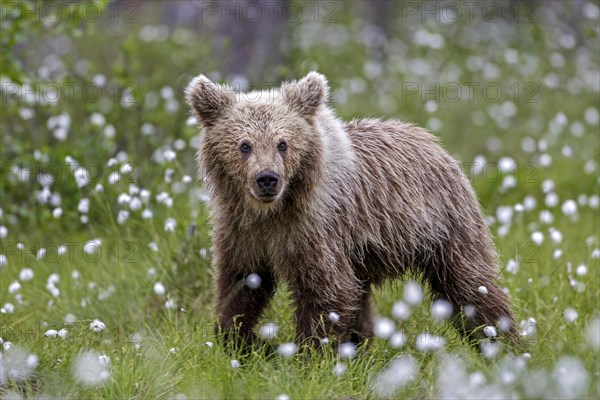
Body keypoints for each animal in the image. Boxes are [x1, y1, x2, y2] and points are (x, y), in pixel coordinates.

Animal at [185, 71, 516, 346]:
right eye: (244, 145)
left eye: (282, 143)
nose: (267, 178)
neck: (272, 211)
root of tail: (432, 140)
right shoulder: (241, 231)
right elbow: (241, 285)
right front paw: (235, 340)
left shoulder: (314, 230)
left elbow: (326, 293)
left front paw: (310, 354)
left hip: (445, 224)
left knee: (469, 285)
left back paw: (503, 342)